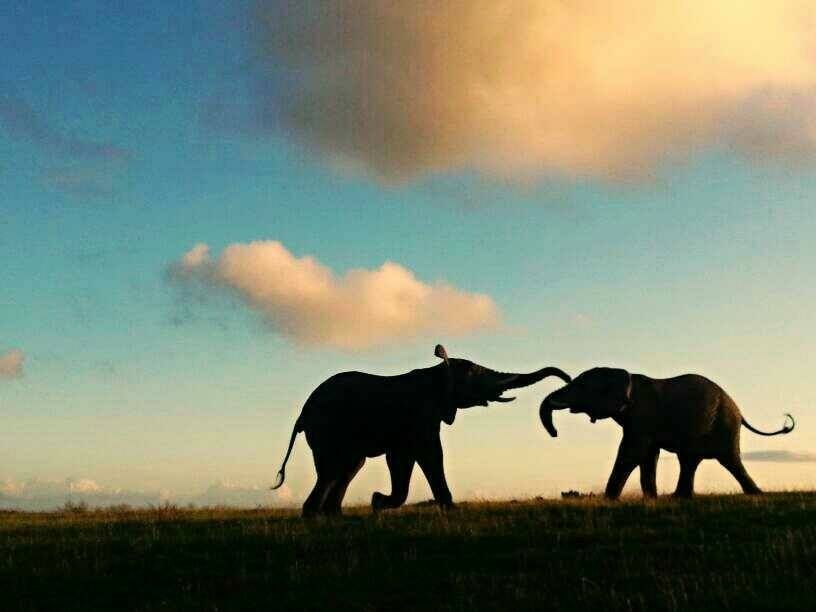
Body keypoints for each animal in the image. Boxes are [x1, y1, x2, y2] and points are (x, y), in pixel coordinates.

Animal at [272, 344, 571, 516]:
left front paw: (377, 503)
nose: (567, 377)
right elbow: (430, 454)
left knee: (348, 468)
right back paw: (313, 517)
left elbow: (402, 459)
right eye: (475, 378)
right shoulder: (420, 415)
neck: (436, 371)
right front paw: (451, 511)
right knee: (333, 469)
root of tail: (302, 413)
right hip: (328, 430)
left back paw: (333, 518)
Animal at [540, 367, 795, 498]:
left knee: (723, 458)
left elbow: (633, 451)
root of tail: (740, 411)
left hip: (722, 423)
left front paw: (609, 500)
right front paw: (650, 500)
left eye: (582, 387)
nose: (555, 433)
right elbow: (648, 454)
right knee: (697, 460)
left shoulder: (643, 414)